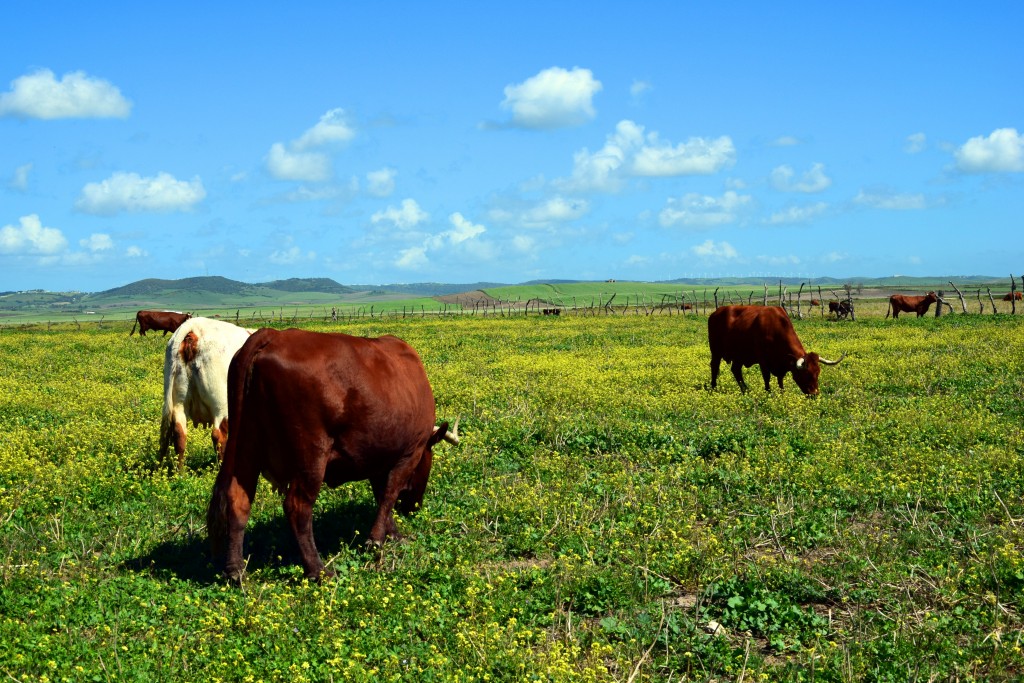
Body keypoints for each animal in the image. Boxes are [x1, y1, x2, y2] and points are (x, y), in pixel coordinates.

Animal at [160, 317, 258, 473]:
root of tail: (193, 328)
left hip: (179, 402)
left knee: (179, 433)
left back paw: (180, 473)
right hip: (221, 405)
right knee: (219, 435)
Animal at [205, 327, 458, 581]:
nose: (413, 508)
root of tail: (273, 334)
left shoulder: (378, 458)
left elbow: (381, 494)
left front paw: (391, 532)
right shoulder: (409, 453)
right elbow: (389, 493)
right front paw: (378, 539)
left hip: (245, 445)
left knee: (238, 499)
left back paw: (235, 570)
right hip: (311, 454)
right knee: (297, 506)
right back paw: (318, 570)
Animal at [708, 305, 843, 395]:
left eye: (817, 373)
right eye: (806, 373)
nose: (814, 394)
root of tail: (715, 313)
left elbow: (780, 380)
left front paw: (781, 393)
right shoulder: (763, 361)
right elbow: (766, 378)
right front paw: (769, 393)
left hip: (739, 355)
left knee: (736, 370)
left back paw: (745, 390)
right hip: (716, 352)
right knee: (714, 367)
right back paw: (714, 387)